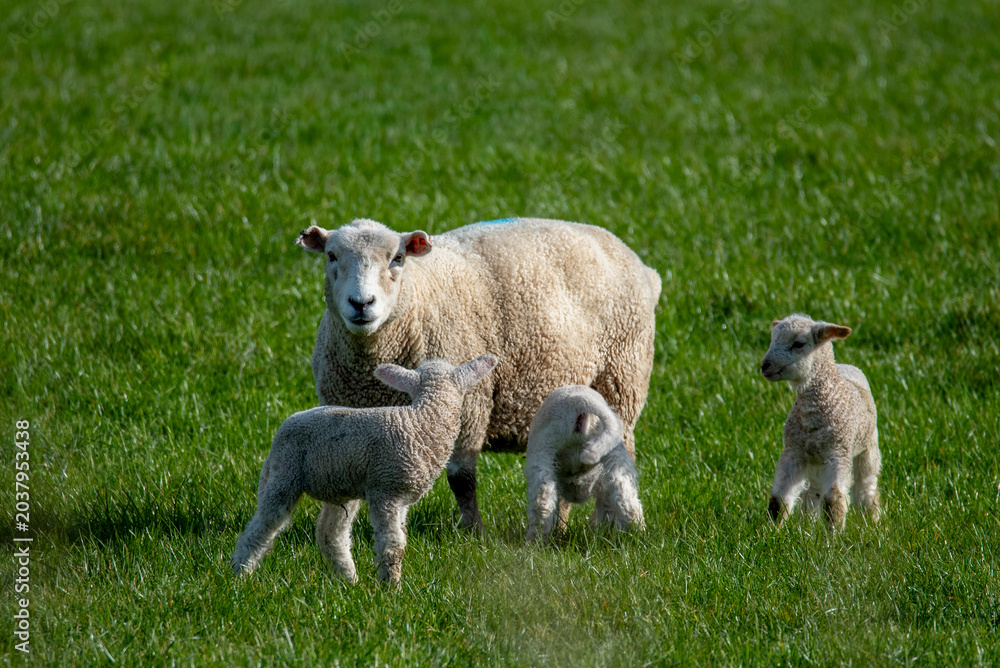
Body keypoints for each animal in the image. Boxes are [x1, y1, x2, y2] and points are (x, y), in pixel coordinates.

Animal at [231, 354, 498, 584]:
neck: (425, 421)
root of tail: (286, 424)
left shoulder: (402, 498)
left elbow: (400, 539)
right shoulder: (386, 491)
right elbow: (392, 544)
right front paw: (391, 586)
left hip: (339, 484)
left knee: (330, 534)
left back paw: (349, 580)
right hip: (284, 474)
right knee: (262, 527)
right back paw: (240, 573)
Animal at [524, 385, 645, 543]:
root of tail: (580, 401)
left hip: (543, 449)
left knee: (543, 500)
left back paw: (534, 541)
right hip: (613, 449)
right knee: (625, 495)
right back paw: (636, 533)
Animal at [760, 314, 881, 533]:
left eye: (798, 344)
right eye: (772, 340)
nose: (765, 365)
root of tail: (846, 366)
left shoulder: (838, 453)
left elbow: (834, 499)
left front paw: (834, 534)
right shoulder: (794, 452)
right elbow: (779, 499)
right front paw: (770, 532)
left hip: (868, 448)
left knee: (866, 488)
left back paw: (873, 523)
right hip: (815, 461)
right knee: (813, 492)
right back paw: (807, 525)